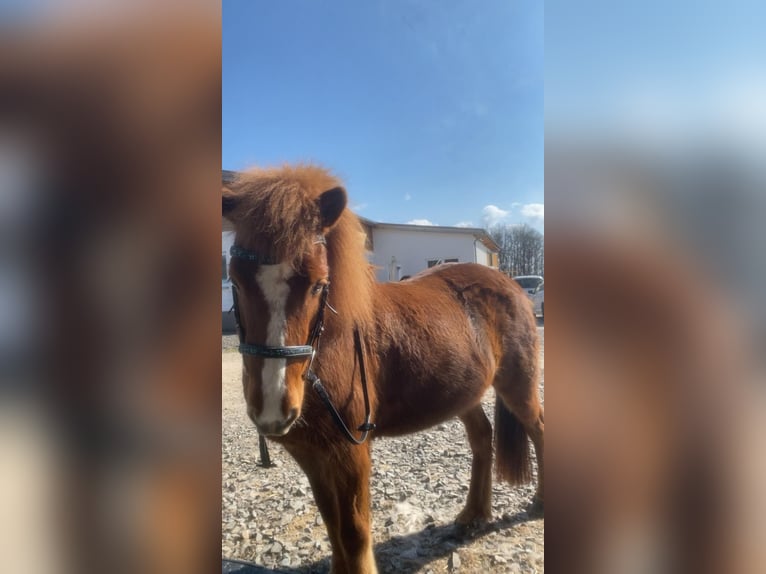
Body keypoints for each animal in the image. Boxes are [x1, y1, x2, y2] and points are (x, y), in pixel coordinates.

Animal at [222, 164, 544, 574]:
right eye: (235, 279)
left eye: (319, 285)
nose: (273, 409)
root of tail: (508, 283)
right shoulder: (312, 454)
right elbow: (334, 528)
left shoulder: (351, 450)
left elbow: (354, 533)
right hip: (464, 391)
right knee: (482, 437)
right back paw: (474, 514)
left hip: (518, 384)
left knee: (538, 429)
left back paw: (538, 503)